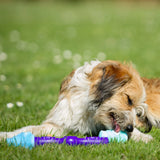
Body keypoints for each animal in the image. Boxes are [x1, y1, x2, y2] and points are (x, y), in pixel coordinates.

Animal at [0, 60, 152, 142]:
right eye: (129, 100)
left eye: (137, 110)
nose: (130, 128)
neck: (91, 111)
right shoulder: (58, 124)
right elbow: (29, 129)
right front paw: (6, 135)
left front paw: (141, 136)